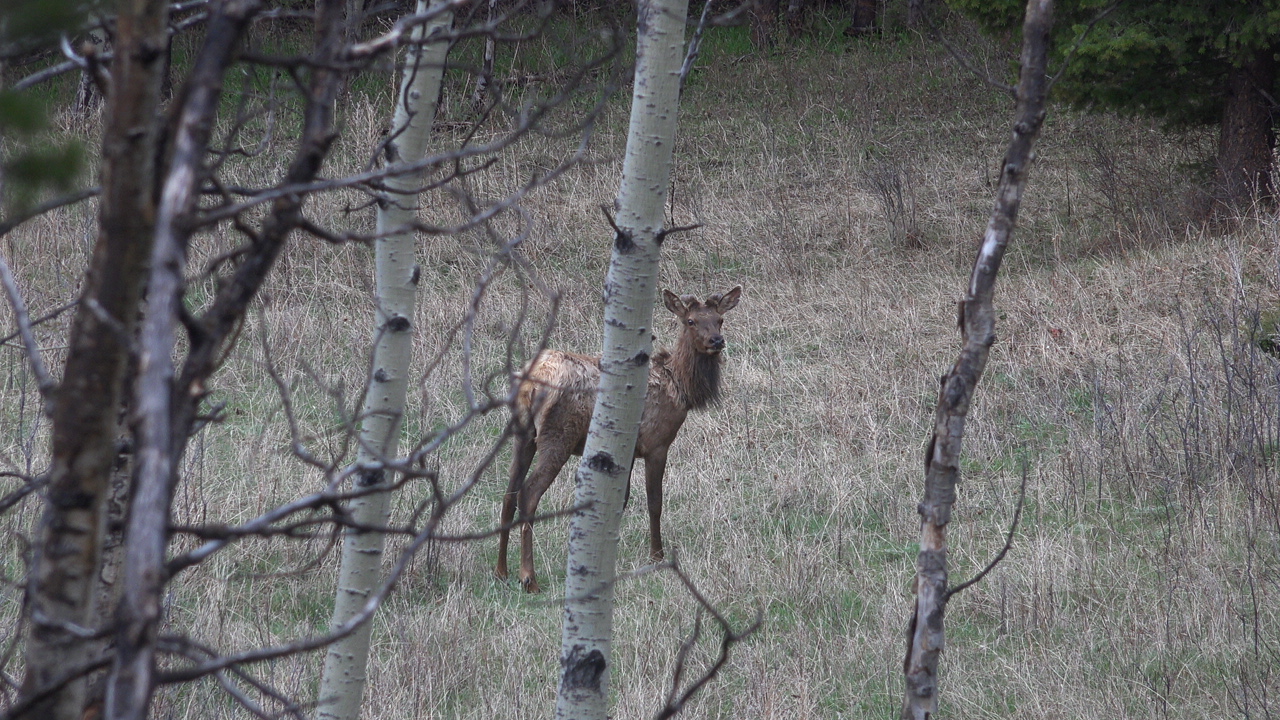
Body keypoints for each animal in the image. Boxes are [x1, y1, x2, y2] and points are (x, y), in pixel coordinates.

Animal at [494, 286, 742, 593]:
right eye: (691, 321)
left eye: (720, 319)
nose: (716, 340)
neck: (679, 390)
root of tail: (531, 384)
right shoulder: (657, 443)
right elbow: (655, 501)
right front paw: (656, 555)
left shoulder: (627, 450)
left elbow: (620, 501)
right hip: (558, 434)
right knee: (528, 493)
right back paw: (529, 577)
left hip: (523, 434)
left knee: (509, 494)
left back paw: (501, 570)